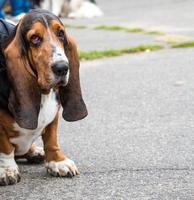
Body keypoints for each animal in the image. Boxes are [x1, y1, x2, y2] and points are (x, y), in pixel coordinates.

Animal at [0, 9, 87, 186]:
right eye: (35, 38)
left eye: (61, 33)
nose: (62, 68)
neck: (43, 94)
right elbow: (5, 147)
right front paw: (6, 169)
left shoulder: (53, 116)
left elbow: (51, 138)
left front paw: (57, 161)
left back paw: (35, 152)